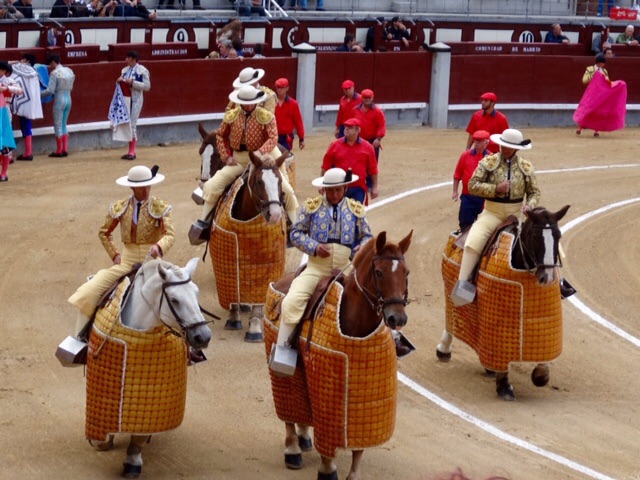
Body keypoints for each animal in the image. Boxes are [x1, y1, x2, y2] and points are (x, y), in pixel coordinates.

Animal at [85, 258, 212, 478]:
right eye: (174, 300)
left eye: (196, 293)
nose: (203, 337)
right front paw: (104, 441)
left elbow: (139, 437)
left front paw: (132, 461)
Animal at [264, 230, 413, 480]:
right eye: (379, 272)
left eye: (406, 273)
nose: (397, 318)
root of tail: (281, 281)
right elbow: (327, 440)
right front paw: (327, 470)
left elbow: (358, 448)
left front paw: (352, 475)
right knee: (288, 409)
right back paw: (293, 449)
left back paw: (304, 437)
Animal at [437, 205, 570, 401]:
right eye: (535, 236)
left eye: (558, 235)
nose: (546, 278)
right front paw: (504, 387)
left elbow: (544, 364)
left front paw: (541, 375)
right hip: (450, 289)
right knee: (451, 318)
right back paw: (443, 349)